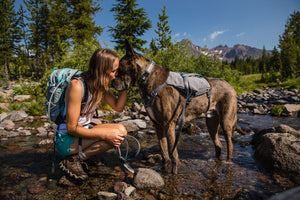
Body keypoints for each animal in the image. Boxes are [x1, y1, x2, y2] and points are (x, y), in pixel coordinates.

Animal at [111, 40, 238, 173]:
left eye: (118, 70)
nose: (111, 82)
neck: (147, 77)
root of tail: (230, 86)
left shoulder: (169, 125)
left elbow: (173, 154)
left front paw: (173, 173)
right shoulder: (158, 125)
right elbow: (164, 150)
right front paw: (165, 167)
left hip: (226, 122)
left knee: (230, 145)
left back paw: (228, 163)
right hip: (211, 123)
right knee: (218, 145)